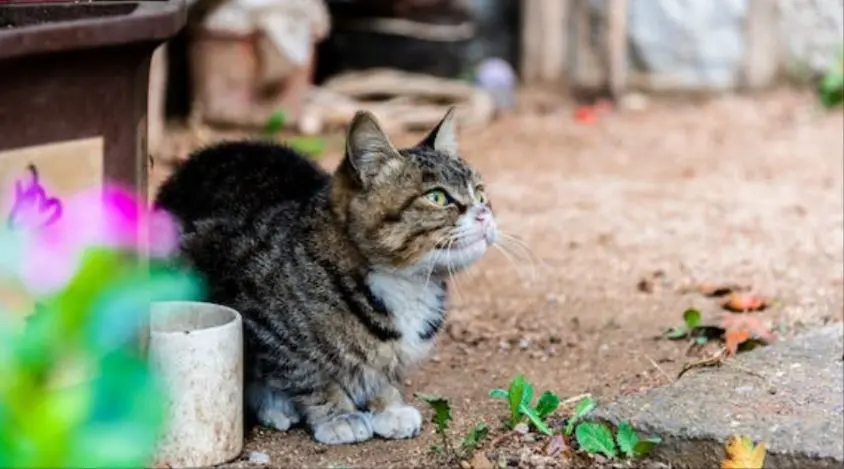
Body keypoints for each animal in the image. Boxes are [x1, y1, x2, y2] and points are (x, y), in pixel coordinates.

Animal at [153, 108, 494, 444]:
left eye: (480, 193)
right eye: (437, 197)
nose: (485, 214)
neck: (406, 284)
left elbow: (383, 370)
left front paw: (388, 404)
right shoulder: (259, 322)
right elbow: (309, 373)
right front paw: (338, 415)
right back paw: (276, 406)